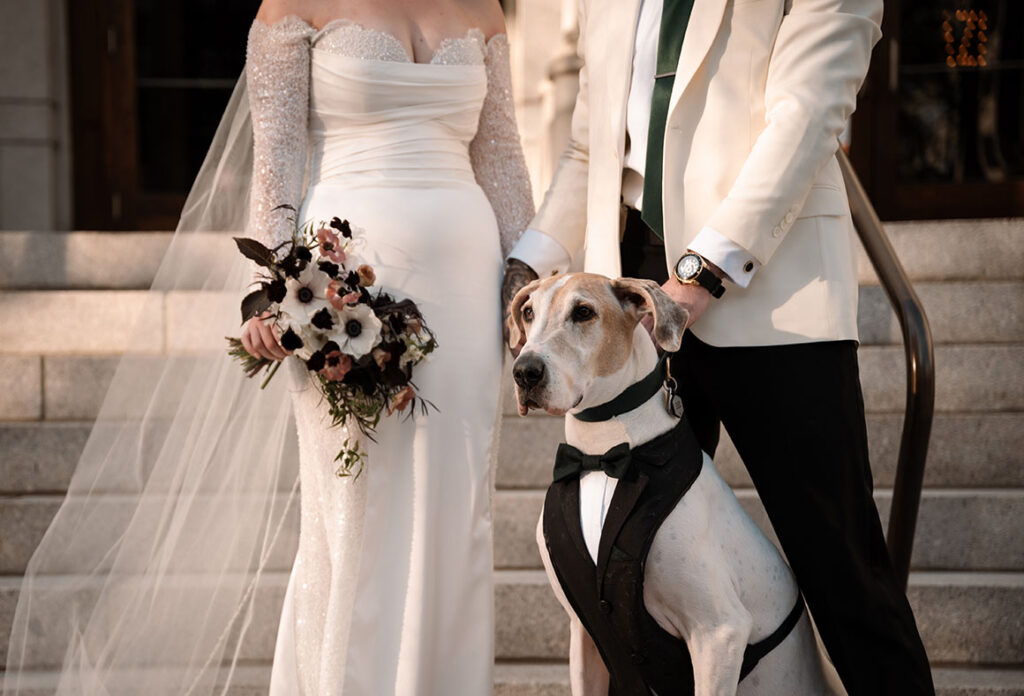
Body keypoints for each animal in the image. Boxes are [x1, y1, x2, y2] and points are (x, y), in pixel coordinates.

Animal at [505, 272, 839, 696]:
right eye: (529, 312)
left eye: (583, 312)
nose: (524, 372)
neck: (601, 451)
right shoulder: (583, 634)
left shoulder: (719, 631)